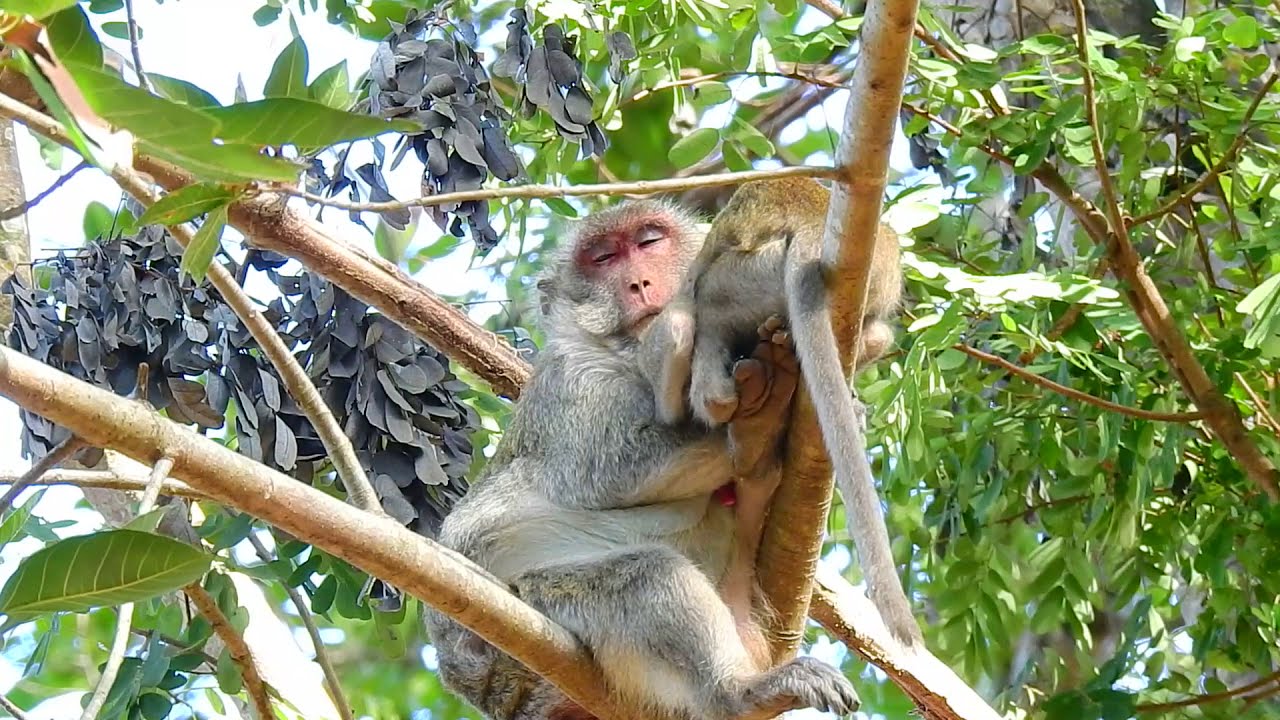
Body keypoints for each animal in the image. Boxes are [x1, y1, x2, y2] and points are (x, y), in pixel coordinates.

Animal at [423, 199, 861, 720]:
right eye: (604, 258)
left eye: (650, 241)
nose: (639, 283)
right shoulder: (572, 380)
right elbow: (606, 470)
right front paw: (753, 428)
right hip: (521, 638)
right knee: (645, 576)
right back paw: (739, 691)